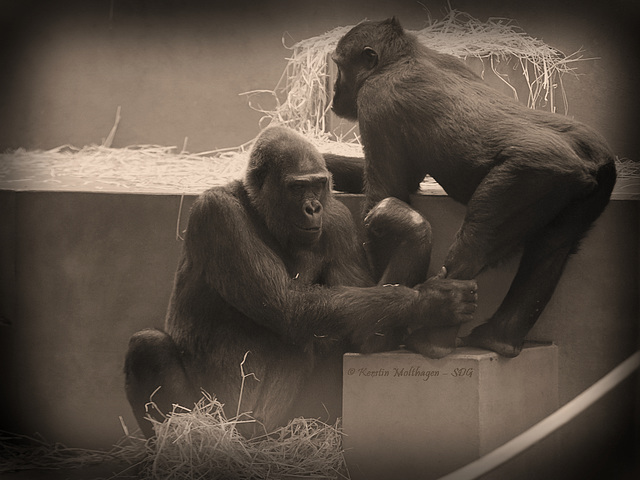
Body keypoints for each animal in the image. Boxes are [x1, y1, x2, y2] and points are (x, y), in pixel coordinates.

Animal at [125, 125, 478, 436]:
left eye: (319, 184)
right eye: (296, 187)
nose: (312, 207)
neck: (260, 211)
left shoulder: (337, 220)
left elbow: (368, 337)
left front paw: (410, 228)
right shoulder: (218, 215)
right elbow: (289, 308)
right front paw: (431, 302)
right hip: (213, 415)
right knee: (148, 345)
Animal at [328, 17, 616, 356]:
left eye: (339, 67)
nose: (334, 91)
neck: (398, 58)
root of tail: (586, 157)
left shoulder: (375, 99)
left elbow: (386, 194)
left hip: (531, 174)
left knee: (472, 247)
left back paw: (429, 338)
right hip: (594, 184)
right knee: (553, 245)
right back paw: (497, 337)